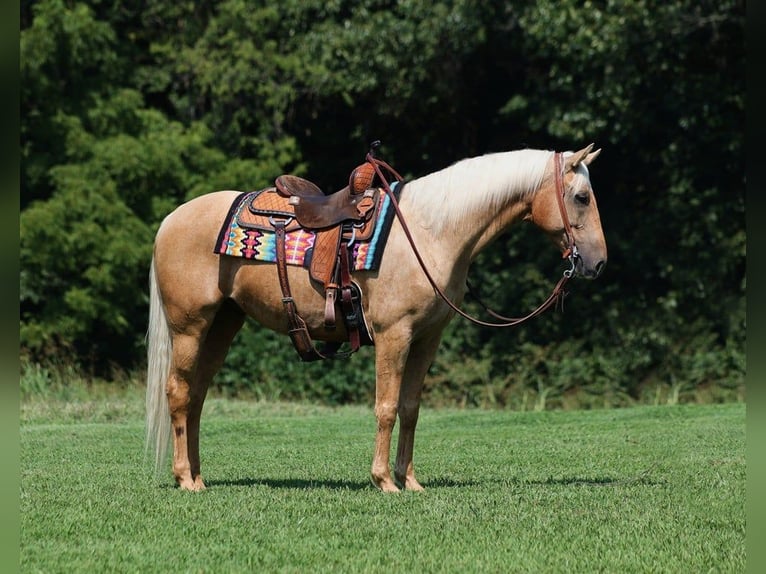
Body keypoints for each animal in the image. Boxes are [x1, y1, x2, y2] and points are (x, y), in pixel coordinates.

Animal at [145, 144, 607, 492]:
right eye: (582, 197)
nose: (598, 263)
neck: (429, 233)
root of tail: (170, 219)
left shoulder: (427, 338)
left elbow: (410, 407)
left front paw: (410, 481)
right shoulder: (393, 334)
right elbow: (386, 407)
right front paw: (384, 480)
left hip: (223, 324)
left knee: (197, 396)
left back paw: (199, 477)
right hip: (189, 326)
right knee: (179, 393)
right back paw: (184, 478)